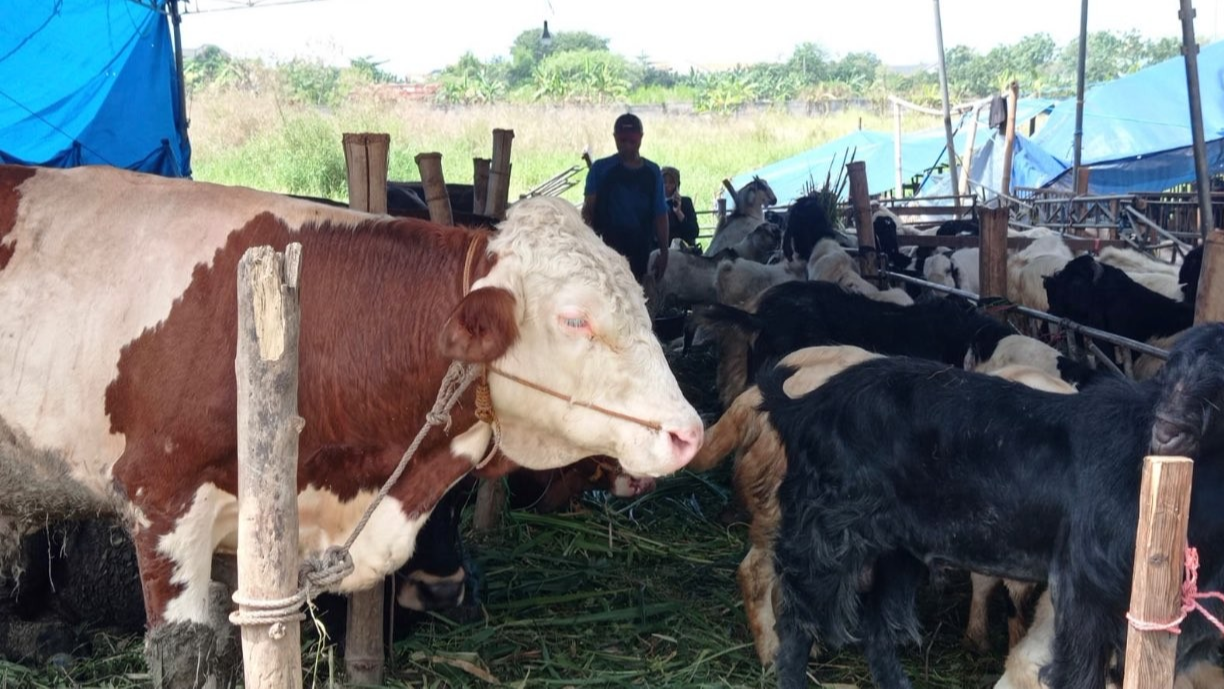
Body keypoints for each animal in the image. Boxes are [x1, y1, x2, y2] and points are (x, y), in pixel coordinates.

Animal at [763, 323, 1224, 689]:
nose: (1169, 427)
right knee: (796, 622)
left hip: (897, 549)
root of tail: (805, 406)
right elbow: (1078, 672)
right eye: (1173, 371)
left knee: (878, 628)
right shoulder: (1083, 588)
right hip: (823, 534)